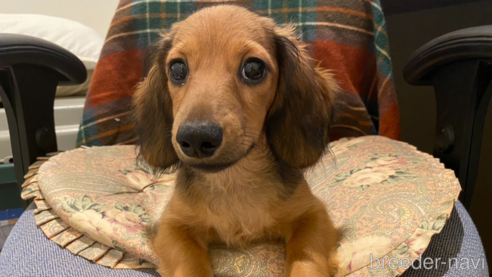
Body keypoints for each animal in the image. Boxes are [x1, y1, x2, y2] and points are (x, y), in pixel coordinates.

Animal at [135, 4, 342, 276]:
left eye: (253, 68)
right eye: (177, 69)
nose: (196, 137)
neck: (233, 182)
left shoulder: (313, 214)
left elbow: (306, 259)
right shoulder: (173, 225)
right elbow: (189, 262)